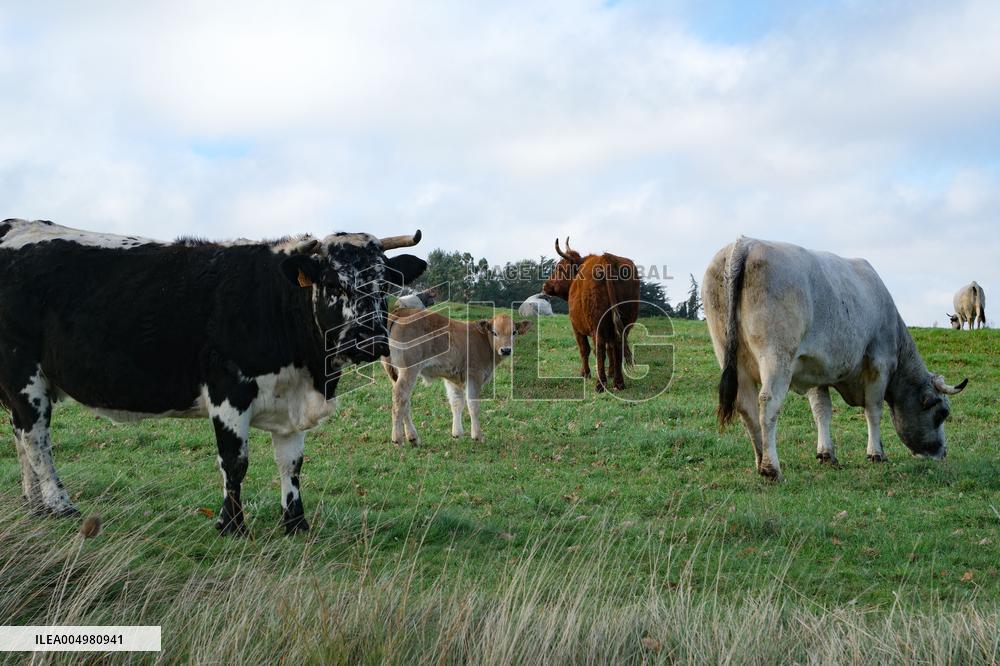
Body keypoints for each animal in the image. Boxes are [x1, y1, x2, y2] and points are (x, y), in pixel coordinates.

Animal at [0, 218, 426, 535]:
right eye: (333, 283)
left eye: (385, 284)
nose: (369, 341)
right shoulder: (228, 390)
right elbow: (234, 461)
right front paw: (231, 524)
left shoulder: (291, 404)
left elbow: (291, 464)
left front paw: (295, 523)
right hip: (23, 374)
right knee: (36, 440)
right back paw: (59, 505)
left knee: (20, 437)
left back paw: (34, 505)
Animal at [381, 309, 531, 445]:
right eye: (494, 332)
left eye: (514, 332)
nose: (506, 350)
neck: (484, 342)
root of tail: (401, 312)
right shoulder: (474, 376)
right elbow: (473, 406)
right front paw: (477, 436)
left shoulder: (453, 378)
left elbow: (456, 403)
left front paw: (457, 433)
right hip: (408, 369)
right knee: (400, 397)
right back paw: (397, 438)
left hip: (394, 373)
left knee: (405, 402)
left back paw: (413, 437)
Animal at [541, 238, 639, 392]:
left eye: (560, 268)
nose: (545, 286)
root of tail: (606, 258)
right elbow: (611, 349)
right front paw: (611, 373)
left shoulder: (576, 327)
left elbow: (584, 349)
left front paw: (585, 373)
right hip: (625, 323)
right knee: (617, 346)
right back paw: (618, 383)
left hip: (597, 325)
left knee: (598, 349)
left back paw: (600, 384)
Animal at [703, 237, 967, 480]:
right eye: (942, 413)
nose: (942, 453)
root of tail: (746, 242)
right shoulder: (879, 364)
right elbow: (874, 410)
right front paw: (876, 453)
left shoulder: (813, 367)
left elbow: (822, 411)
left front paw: (826, 454)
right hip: (776, 356)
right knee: (767, 403)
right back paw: (771, 469)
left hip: (730, 356)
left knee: (746, 406)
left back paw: (760, 461)